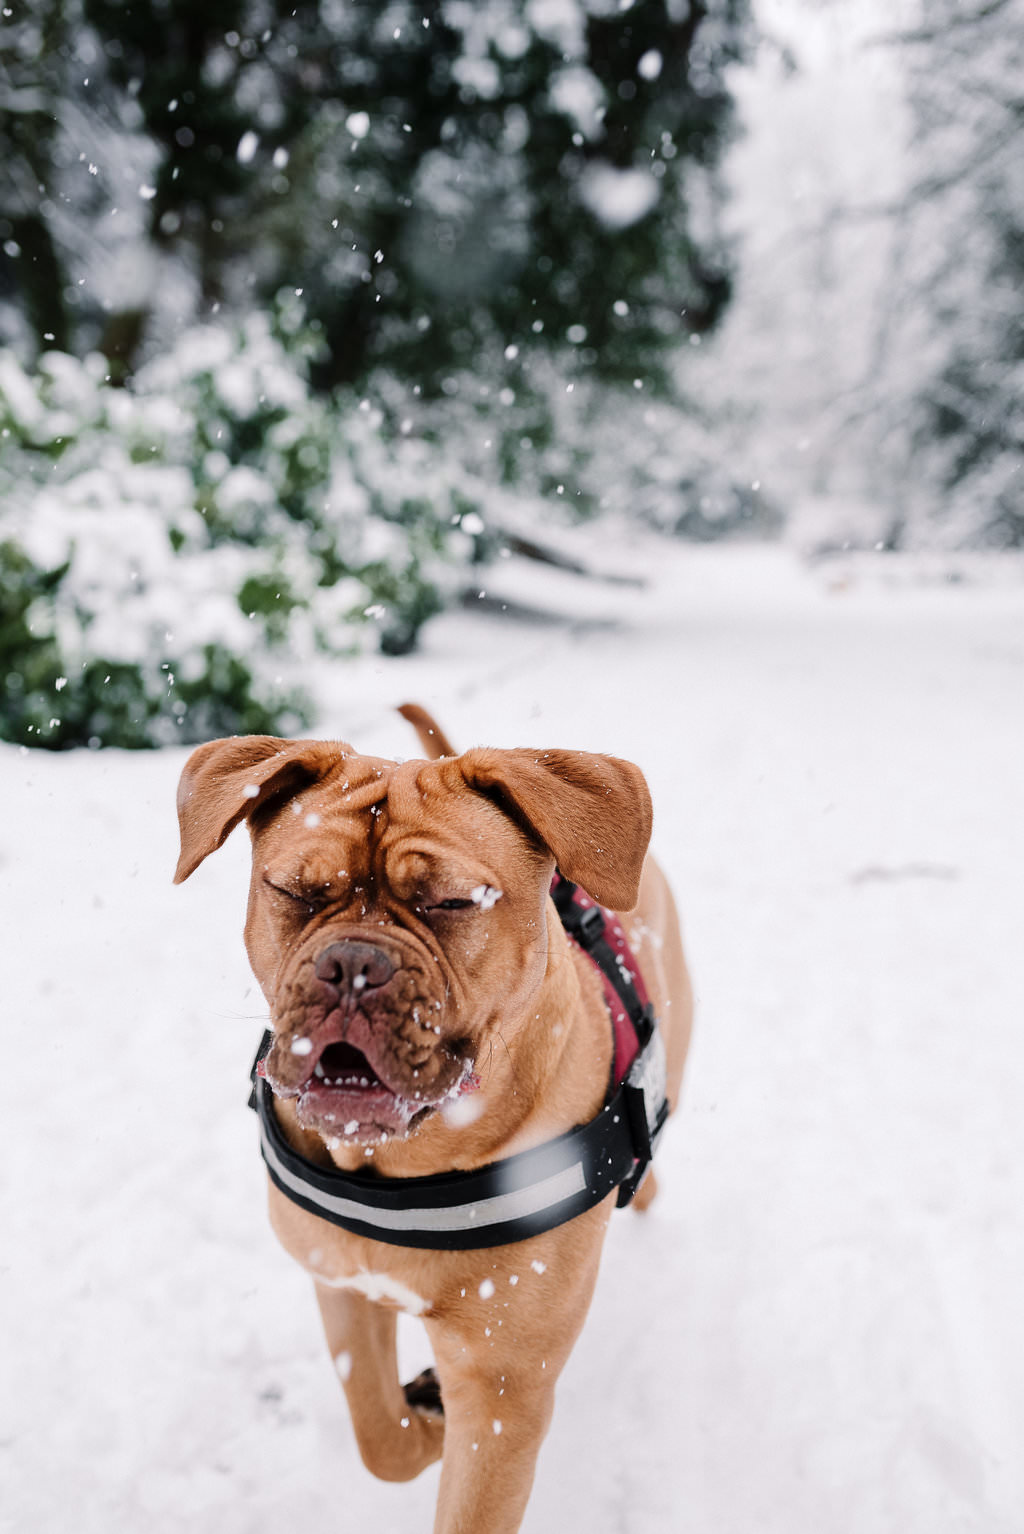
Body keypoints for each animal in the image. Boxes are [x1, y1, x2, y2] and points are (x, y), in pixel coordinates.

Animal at [176, 705, 692, 1534]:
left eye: (451, 902)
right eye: (293, 890)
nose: (353, 964)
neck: (401, 1169)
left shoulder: (503, 1391)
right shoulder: (341, 1284)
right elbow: (376, 1432)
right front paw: (418, 1421)